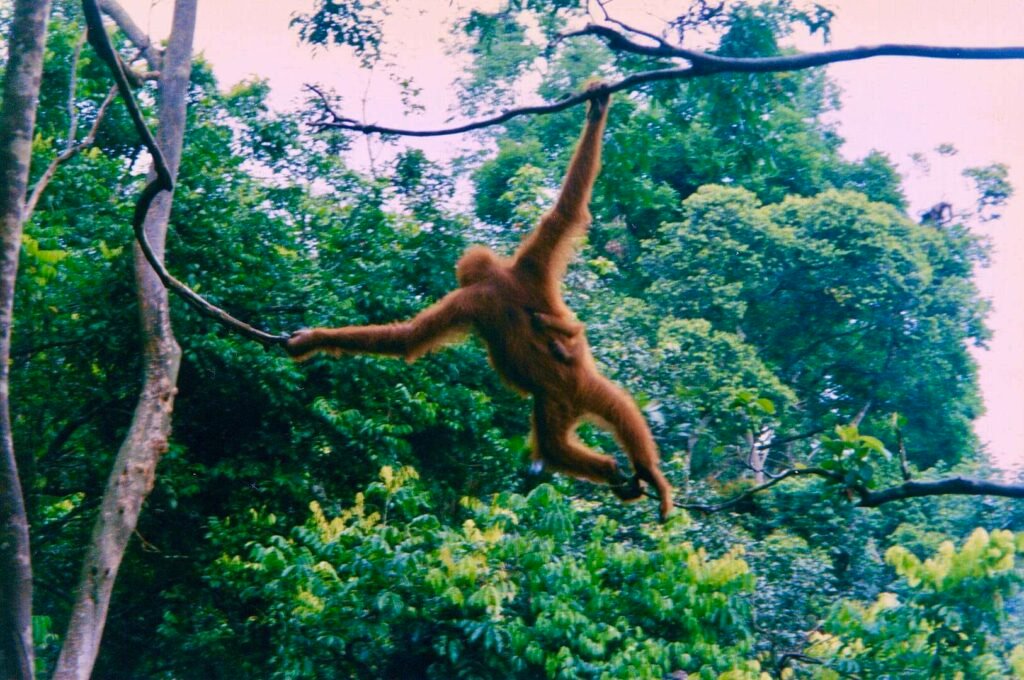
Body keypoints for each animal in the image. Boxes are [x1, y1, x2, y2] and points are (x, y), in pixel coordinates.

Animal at [287, 84, 674, 521]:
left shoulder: (477, 293)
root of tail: (572, 397)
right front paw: (597, 110)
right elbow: (565, 210)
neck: (498, 278)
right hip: (571, 393)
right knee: (595, 425)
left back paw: (641, 474)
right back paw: (622, 471)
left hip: (562, 392)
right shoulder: (529, 266)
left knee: (577, 432)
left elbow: (409, 337)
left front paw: (312, 339)